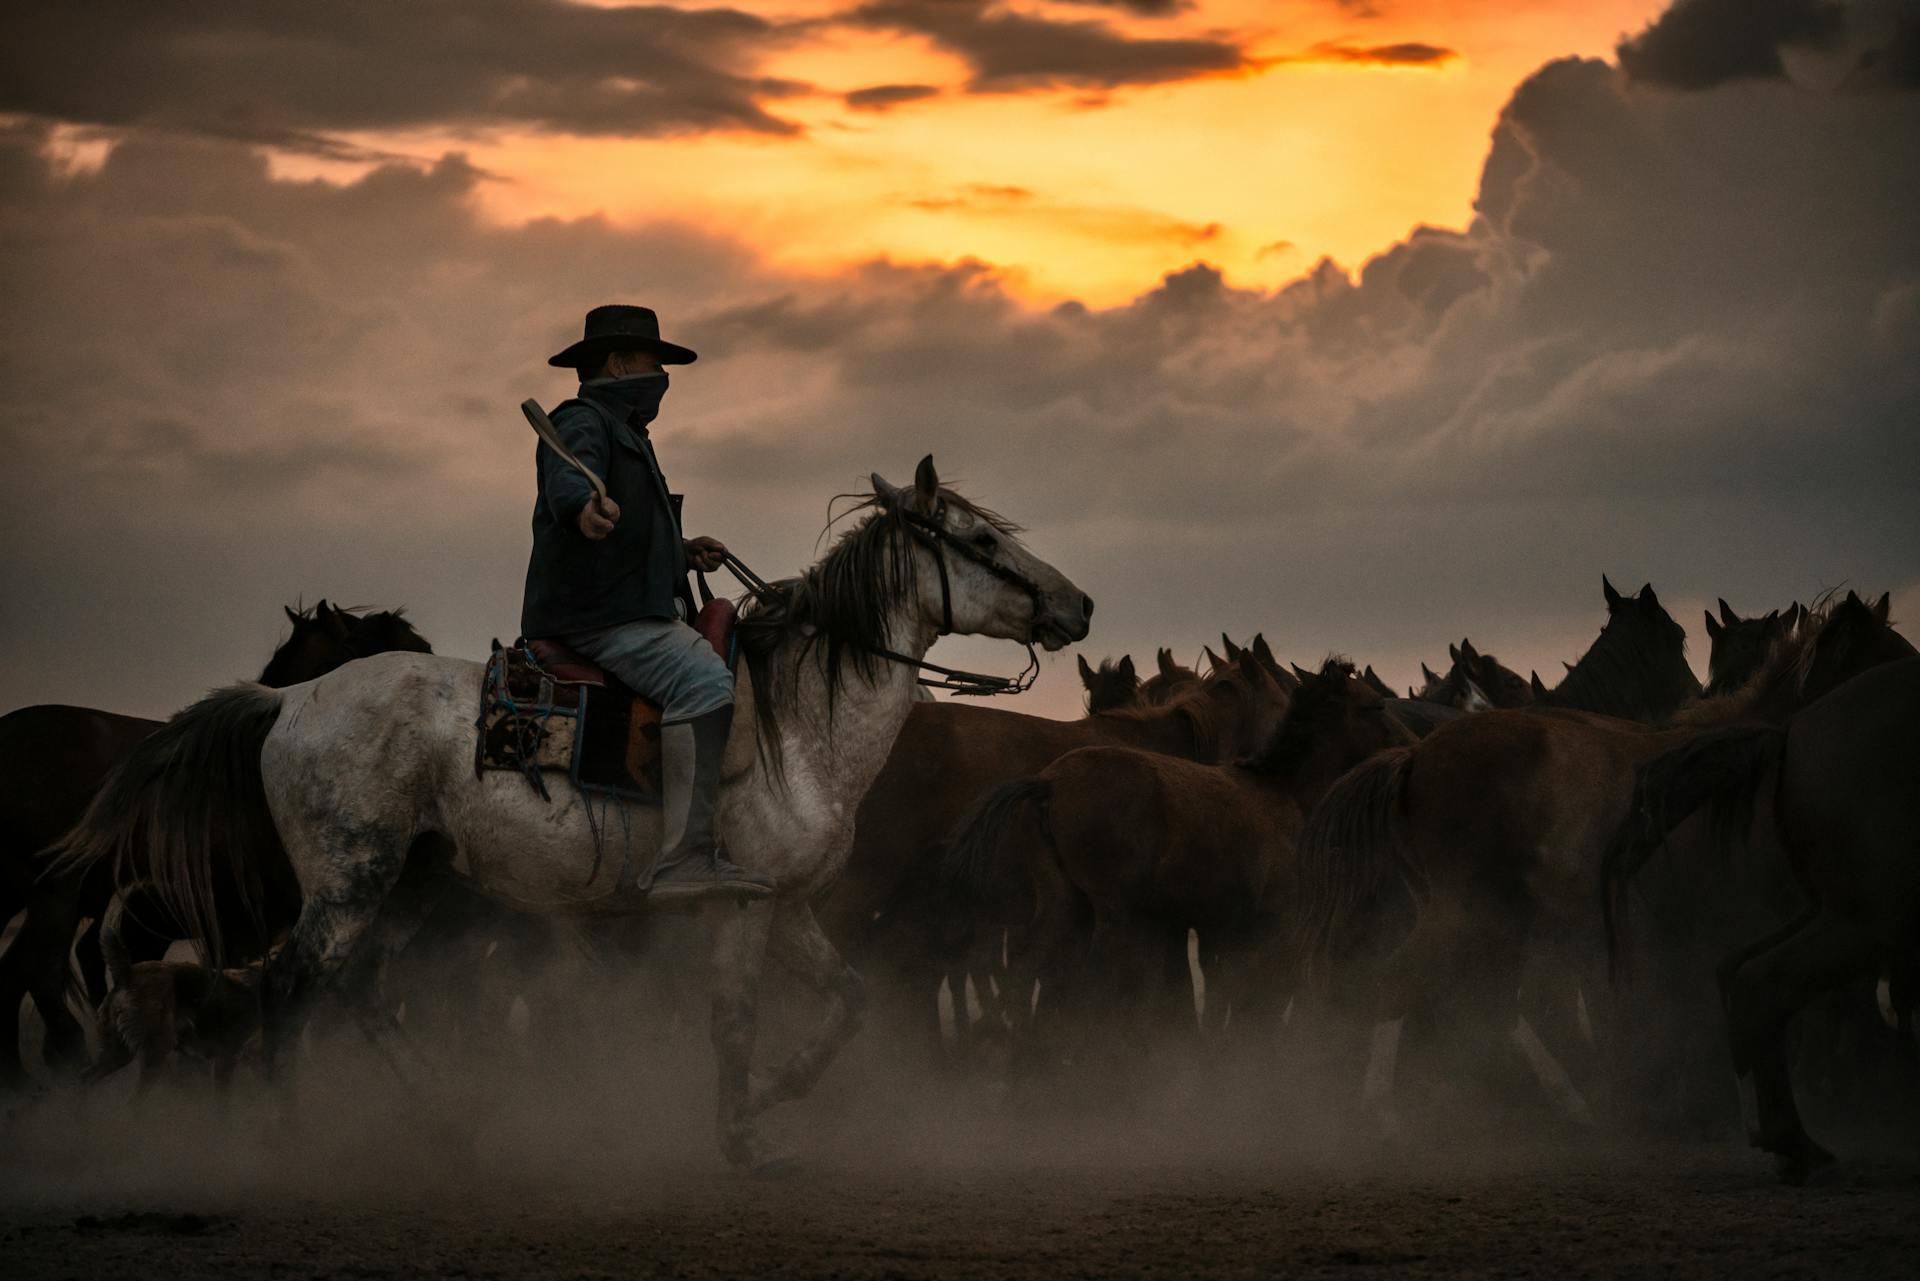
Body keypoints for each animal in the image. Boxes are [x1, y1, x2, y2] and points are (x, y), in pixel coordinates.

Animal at [67, 460, 1090, 1175]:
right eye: (978, 539)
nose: (1077, 602)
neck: (800, 722)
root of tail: (288, 703)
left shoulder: (788, 903)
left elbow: (849, 1001)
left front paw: (773, 1094)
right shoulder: (740, 904)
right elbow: (735, 1018)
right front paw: (745, 1137)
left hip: (402, 884)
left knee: (357, 989)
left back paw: (447, 1120)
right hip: (350, 882)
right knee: (289, 990)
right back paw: (286, 1138)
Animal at [1297, 591, 1912, 1129]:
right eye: (1894, 649)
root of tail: (1413, 756)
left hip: (1492, 918)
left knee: (1484, 1004)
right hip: (1465, 912)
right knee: (1399, 983)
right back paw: (1385, 1112)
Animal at [1605, 656, 1920, 1190]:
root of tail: (1791, 730)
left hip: (1832, 912)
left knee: (1735, 971)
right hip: (1867, 921)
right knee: (1763, 983)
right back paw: (1795, 1145)